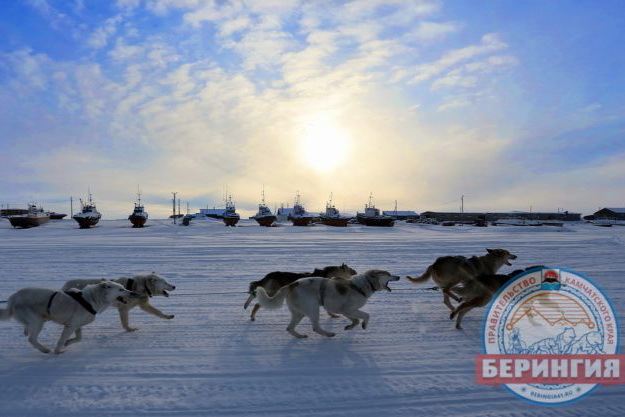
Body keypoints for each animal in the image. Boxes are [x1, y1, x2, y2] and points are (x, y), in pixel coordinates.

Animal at [0, 282, 137, 352]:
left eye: (124, 287)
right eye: (120, 289)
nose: (133, 293)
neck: (91, 299)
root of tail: (13, 298)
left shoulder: (77, 326)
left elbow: (79, 338)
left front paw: (68, 342)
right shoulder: (70, 326)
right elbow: (61, 340)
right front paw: (58, 351)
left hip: (36, 320)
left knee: (27, 329)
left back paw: (26, 331)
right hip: (38, 322)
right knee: (31, 339)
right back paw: (45, 350)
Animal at [255, 270, 398, 338]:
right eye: (388, 274)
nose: (398, 277)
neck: (363, 284)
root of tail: (292, 284)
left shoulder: (345, 311)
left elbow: (355, 320)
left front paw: (349, 327)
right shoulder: (349, 309)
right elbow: (366, 316)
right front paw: (363, 325)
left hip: (299, 313)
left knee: (289, 328)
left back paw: (300, 336)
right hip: (313, 309)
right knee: (315, 327)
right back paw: (329, 334)